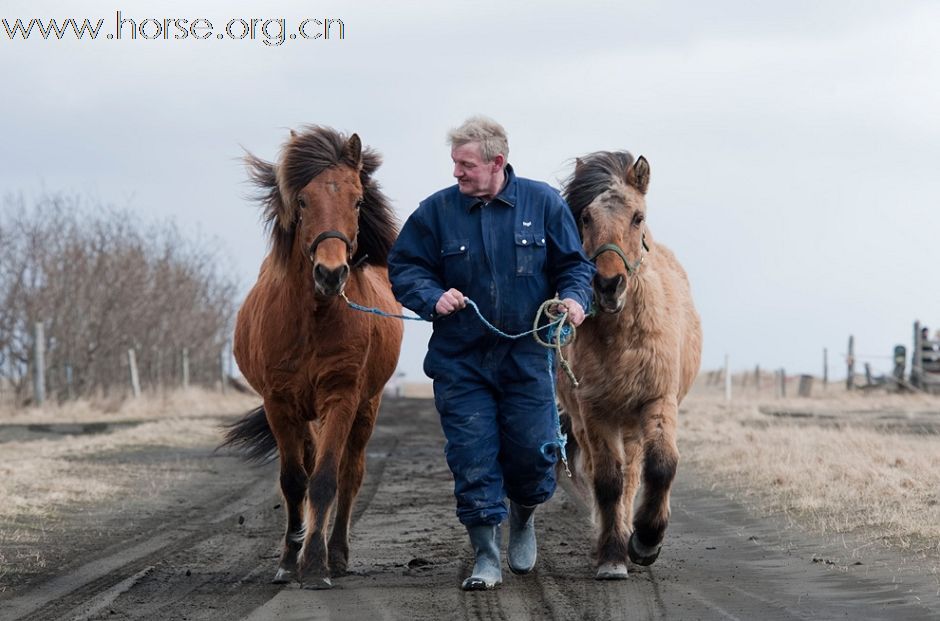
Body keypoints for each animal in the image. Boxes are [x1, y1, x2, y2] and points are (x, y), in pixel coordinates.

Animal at [226, 124, 406, 588]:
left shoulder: (341, 397)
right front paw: (290, 560)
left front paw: (315, 563)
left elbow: (326, 479)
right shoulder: (279, 403)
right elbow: (294, 481)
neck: (312, 318)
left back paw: (336, 552)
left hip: (366, 406)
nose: (330, 273)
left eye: (357, 200)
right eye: (303, 201)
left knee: (350, 473)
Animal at [556, 153, 700, 580]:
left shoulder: (658, 400)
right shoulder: (595, 411)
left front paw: (646, 540)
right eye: (585, 217)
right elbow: (607, 481)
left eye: (637, 217)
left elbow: (662, 467)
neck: (622, 336)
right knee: (610, 476)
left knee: (636, 472)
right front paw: (613, 555)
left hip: (634, 423)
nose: (608, 285)